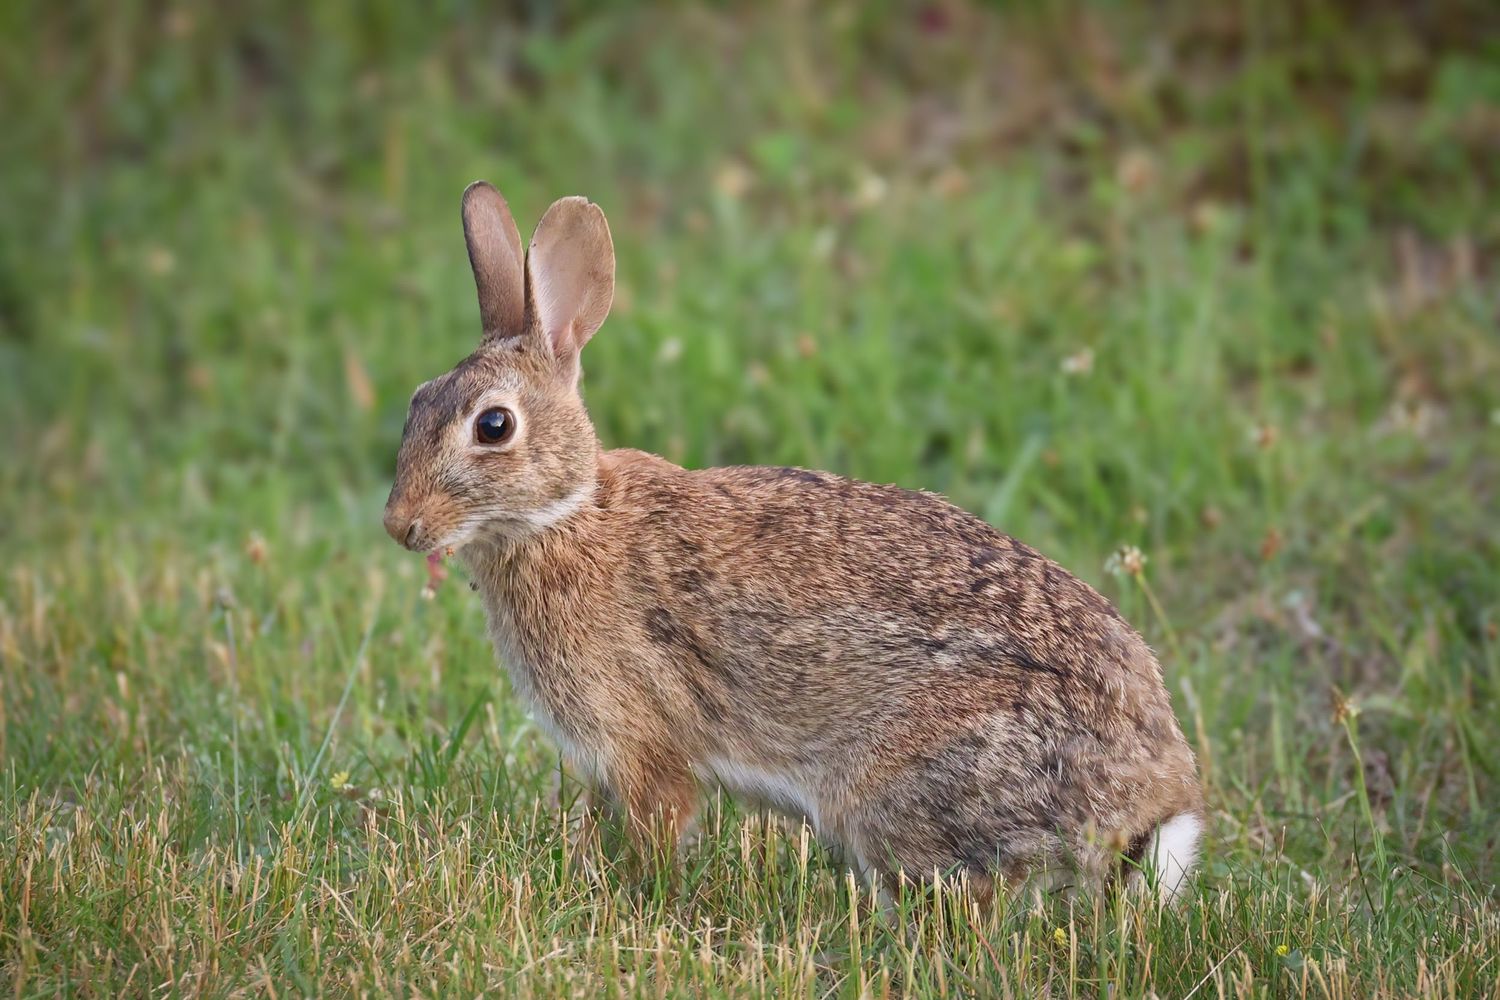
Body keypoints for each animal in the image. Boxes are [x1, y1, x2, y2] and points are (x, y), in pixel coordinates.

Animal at [383, 180, 1204, 902]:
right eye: (418, 402)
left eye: (494, 426)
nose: (400, 525)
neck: (567, 512)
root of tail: (1150, 802)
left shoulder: (642, 743)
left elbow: (658, 824)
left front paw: (638, 895)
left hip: (906, 785)